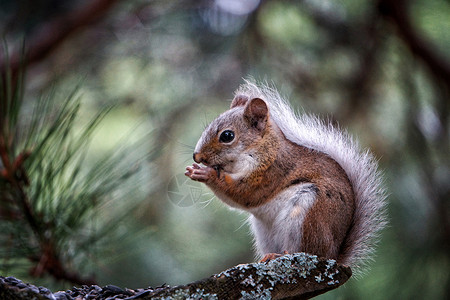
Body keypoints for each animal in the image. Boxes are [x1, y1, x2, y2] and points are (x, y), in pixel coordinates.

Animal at [185, 79, 386, 274]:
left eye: (227, 135)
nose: (197, 156)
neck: (261, 149)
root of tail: (333, 257)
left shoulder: (270, 172)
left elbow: (244, 193)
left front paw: (206, 174)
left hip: (308, 216)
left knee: (305, 251)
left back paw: (282, 255)